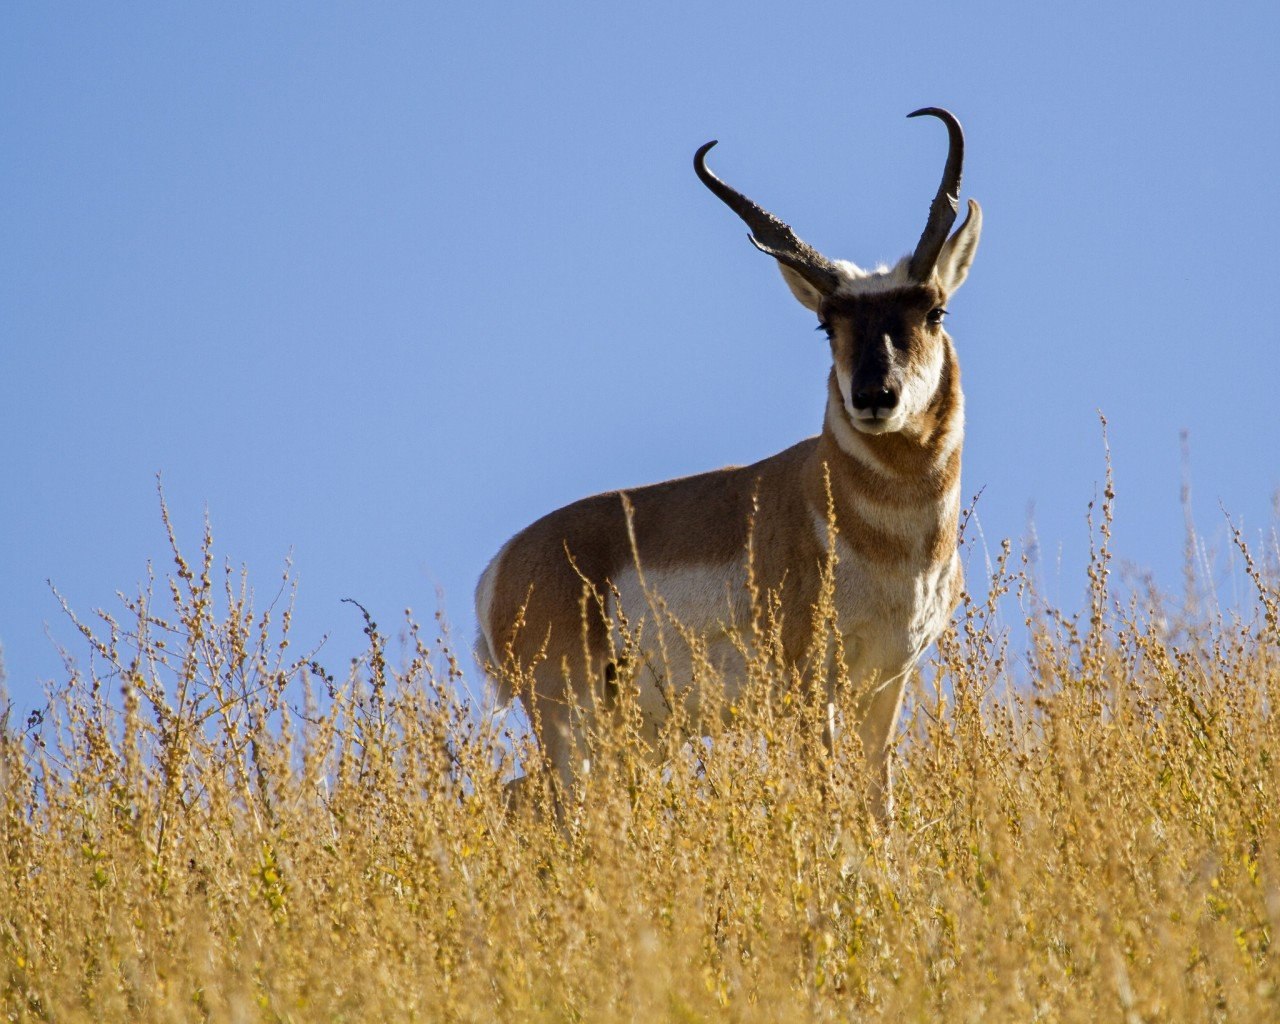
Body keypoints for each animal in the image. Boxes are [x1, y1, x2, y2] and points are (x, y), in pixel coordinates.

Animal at [476, 108, 983, 819]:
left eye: (934, 310)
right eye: (827, 324)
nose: (873, 397)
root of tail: (504, 563)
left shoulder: (884, 686)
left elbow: (876, 803)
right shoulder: (809, 687)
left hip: (632, 734)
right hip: (573, 720)